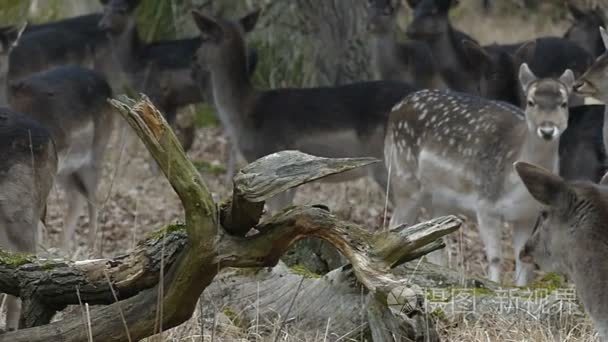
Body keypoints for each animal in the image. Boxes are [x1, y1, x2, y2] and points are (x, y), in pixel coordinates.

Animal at [7, 65, 115, 251]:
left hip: (94, 156)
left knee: (92, 198)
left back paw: (90, 249)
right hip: (66, 170)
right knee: (77, 196)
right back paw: (63, 248)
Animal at [384, 62, 576, 284]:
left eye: (564, 103)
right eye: (531, 102)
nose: (547, 130)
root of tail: (395, 109)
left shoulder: (527, 215)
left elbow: (522, 260)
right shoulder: (485, 205)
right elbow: (494, 258)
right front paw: (493, 284)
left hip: (438, 201)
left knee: (436, 240)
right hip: (403, 180)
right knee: (396, 224)